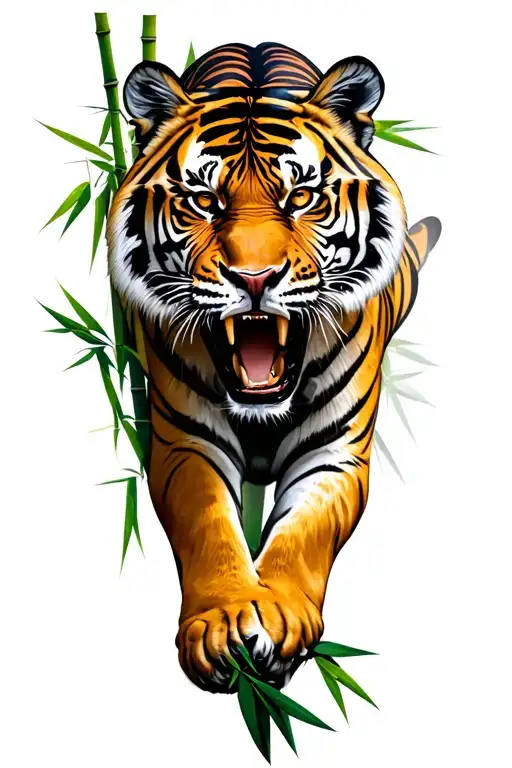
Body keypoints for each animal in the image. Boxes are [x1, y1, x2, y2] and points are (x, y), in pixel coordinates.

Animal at [107, 42, 441, 693]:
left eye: (302, 198)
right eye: (204, 201)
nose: (255, 278)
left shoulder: (334, 451)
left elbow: (304, 533)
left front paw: (279, 614)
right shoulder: (186, 442)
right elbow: (208, 522)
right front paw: (223, 620)